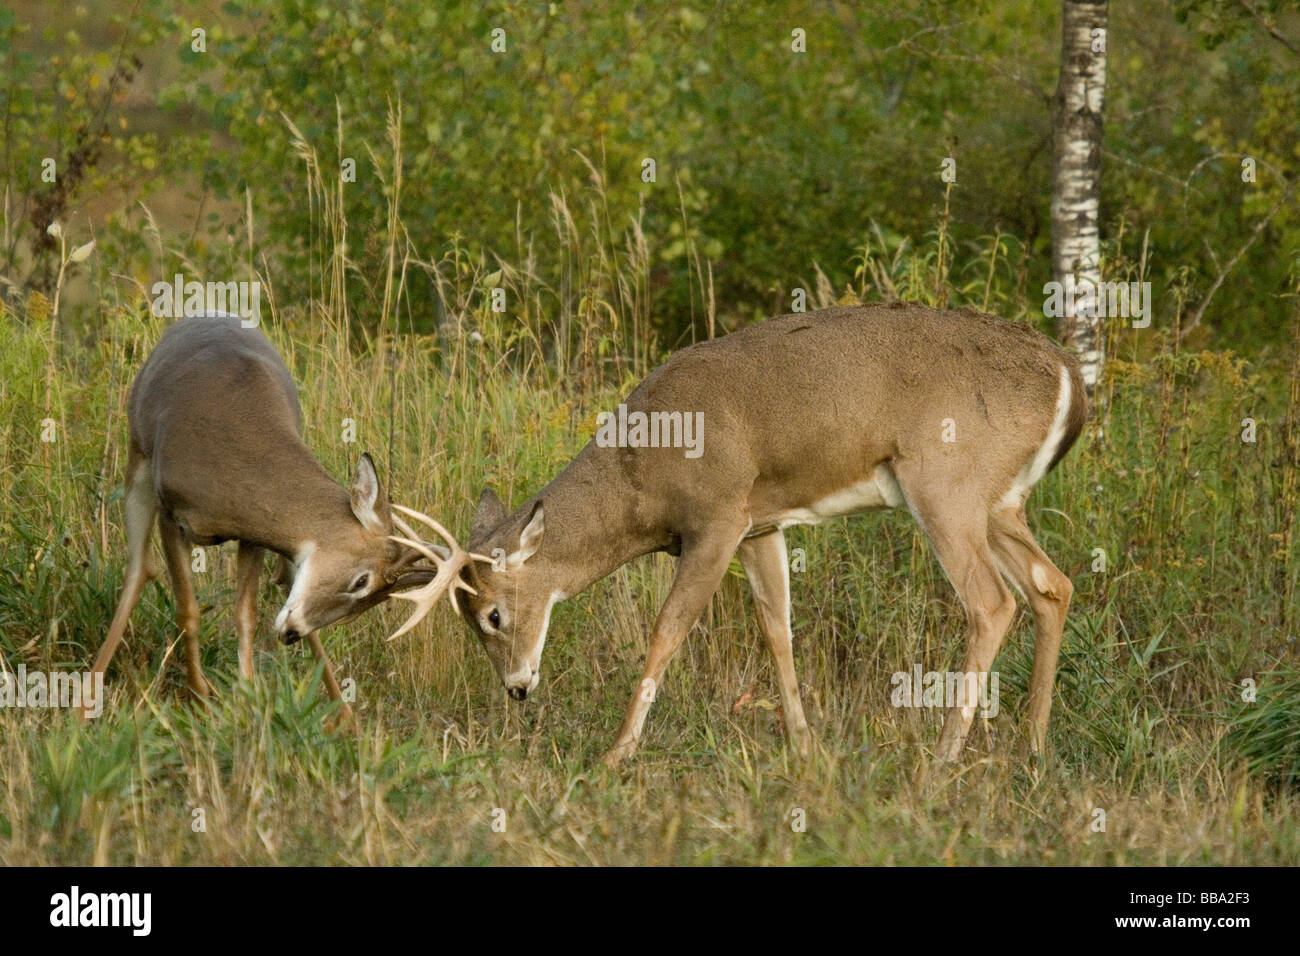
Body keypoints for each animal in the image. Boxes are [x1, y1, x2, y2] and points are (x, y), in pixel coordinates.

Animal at [92, 314, 436, 717]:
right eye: (362, 581)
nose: (291, 634)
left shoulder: (254, 535)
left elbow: (246, 616)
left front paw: (245, 703)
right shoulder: (171, 512)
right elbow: (188, 611)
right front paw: (199, 701)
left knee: (281, 581)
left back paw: (345, 717)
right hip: (137, 463)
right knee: (138, 570)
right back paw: (87, 697)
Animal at [392, 303, 1086, 764]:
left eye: (493, 615)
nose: (516, 687)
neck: (640, 475)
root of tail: (1068, 378)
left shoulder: (718, 517)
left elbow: (668, 629)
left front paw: (616, 755)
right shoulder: (761, 524)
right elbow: (777, 626)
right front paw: (804, 747)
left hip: (947, 485)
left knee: (992, 602)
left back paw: (940, 762)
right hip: (1000, 503)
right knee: (1053, 585)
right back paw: (1034, 746)